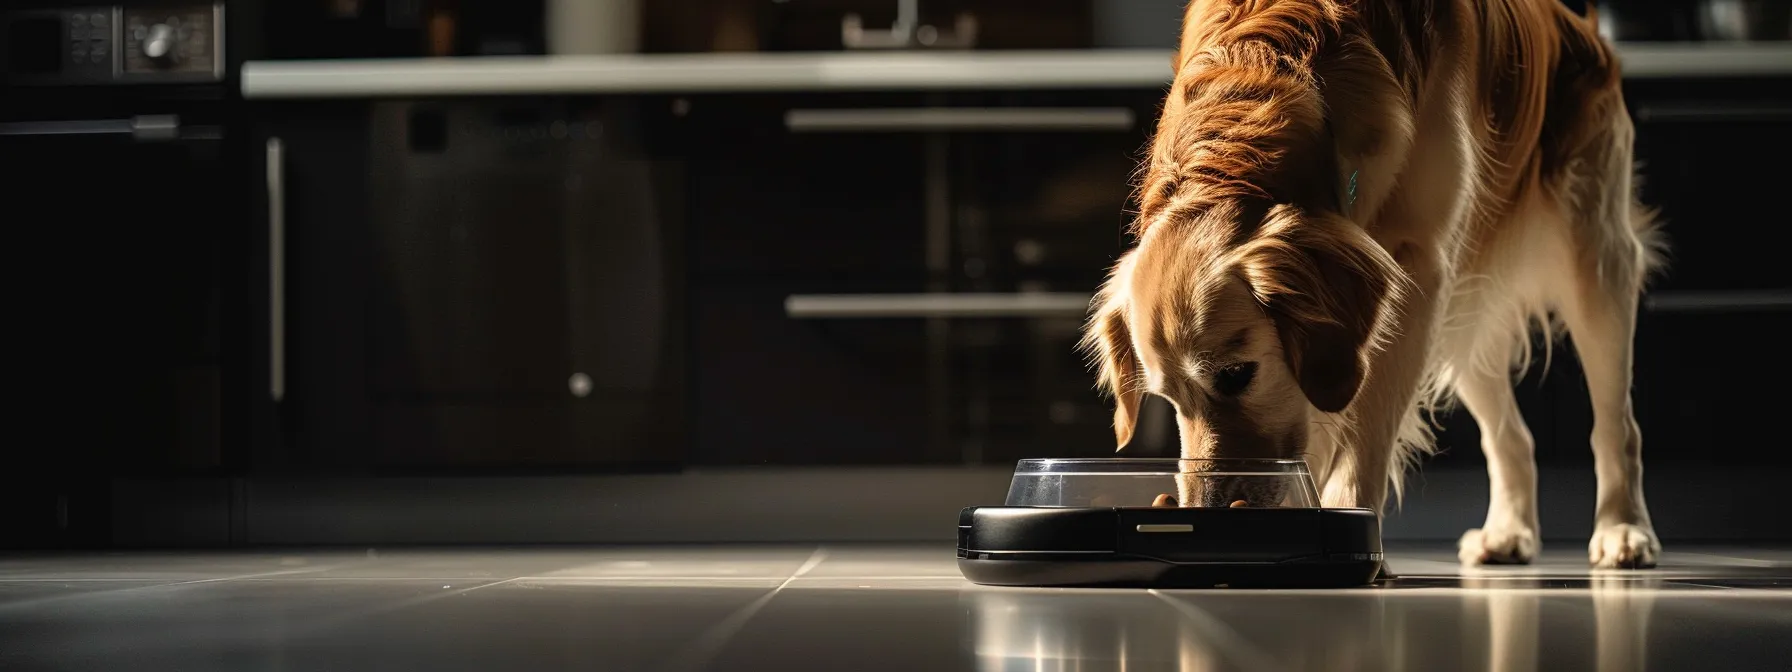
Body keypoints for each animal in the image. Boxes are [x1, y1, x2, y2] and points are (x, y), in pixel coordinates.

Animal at [1075, 0, 1662, 569]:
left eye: (1238, 374)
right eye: (1166, 398)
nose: (1205, 512)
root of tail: (1582, 28)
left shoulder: (1415, 271)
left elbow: (1364, 432)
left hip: (1596, 260)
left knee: (1618, 424)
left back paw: (1623, 530)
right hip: (1464, 317)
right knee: (1512, 436)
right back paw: (1508, 532)